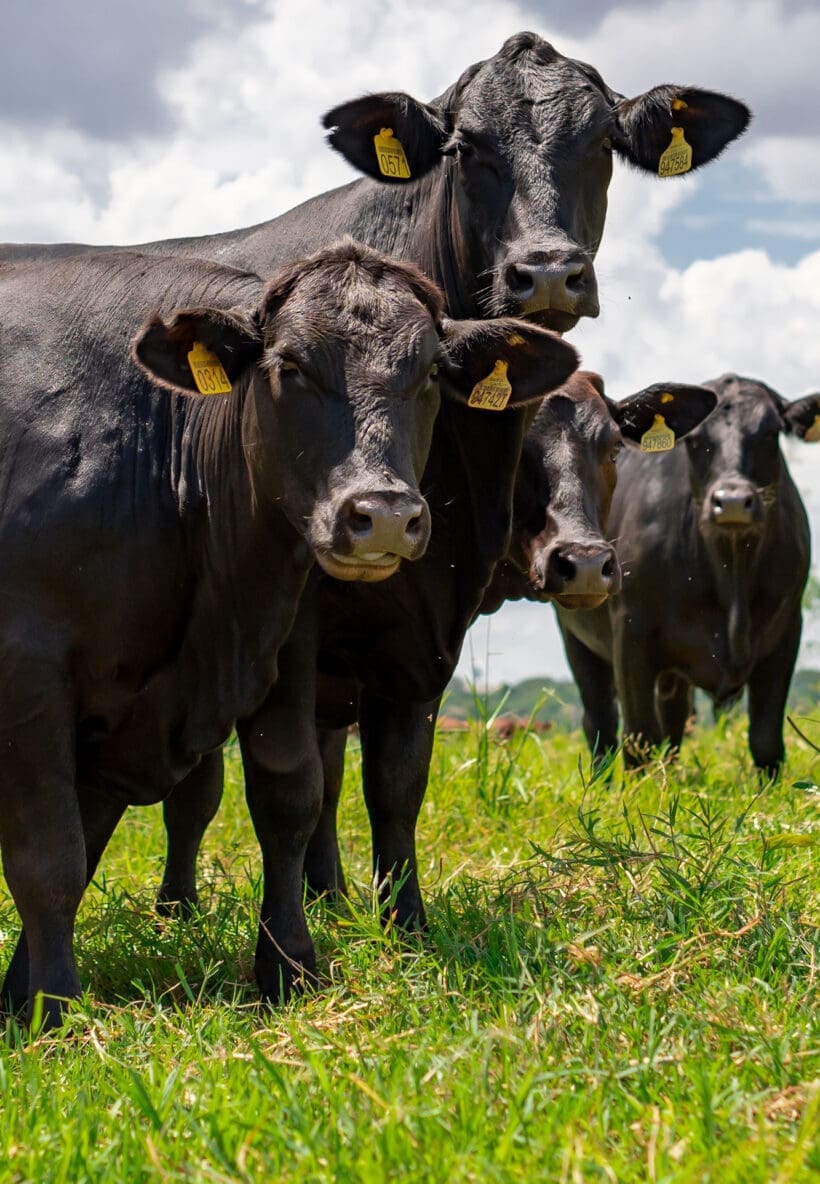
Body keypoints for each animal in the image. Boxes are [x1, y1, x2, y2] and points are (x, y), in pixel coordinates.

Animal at [0, 242, 575, 1027]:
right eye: (291, 366)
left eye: (431, 371)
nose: (383, 514)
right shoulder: (31, 673)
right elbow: (51, 858)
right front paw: (52, 1012)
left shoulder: (252, 648)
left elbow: (286, 796)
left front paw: (288, 964)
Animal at [553, 371, 814, 776]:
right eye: (694, 440)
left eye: (771, 432)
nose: (732, 501)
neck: (730, 574)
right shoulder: (630, 631)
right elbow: (640, 736)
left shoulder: (786, 632)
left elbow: (766, 739)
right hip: (577, 635)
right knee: (600, 722)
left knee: (673, 719)